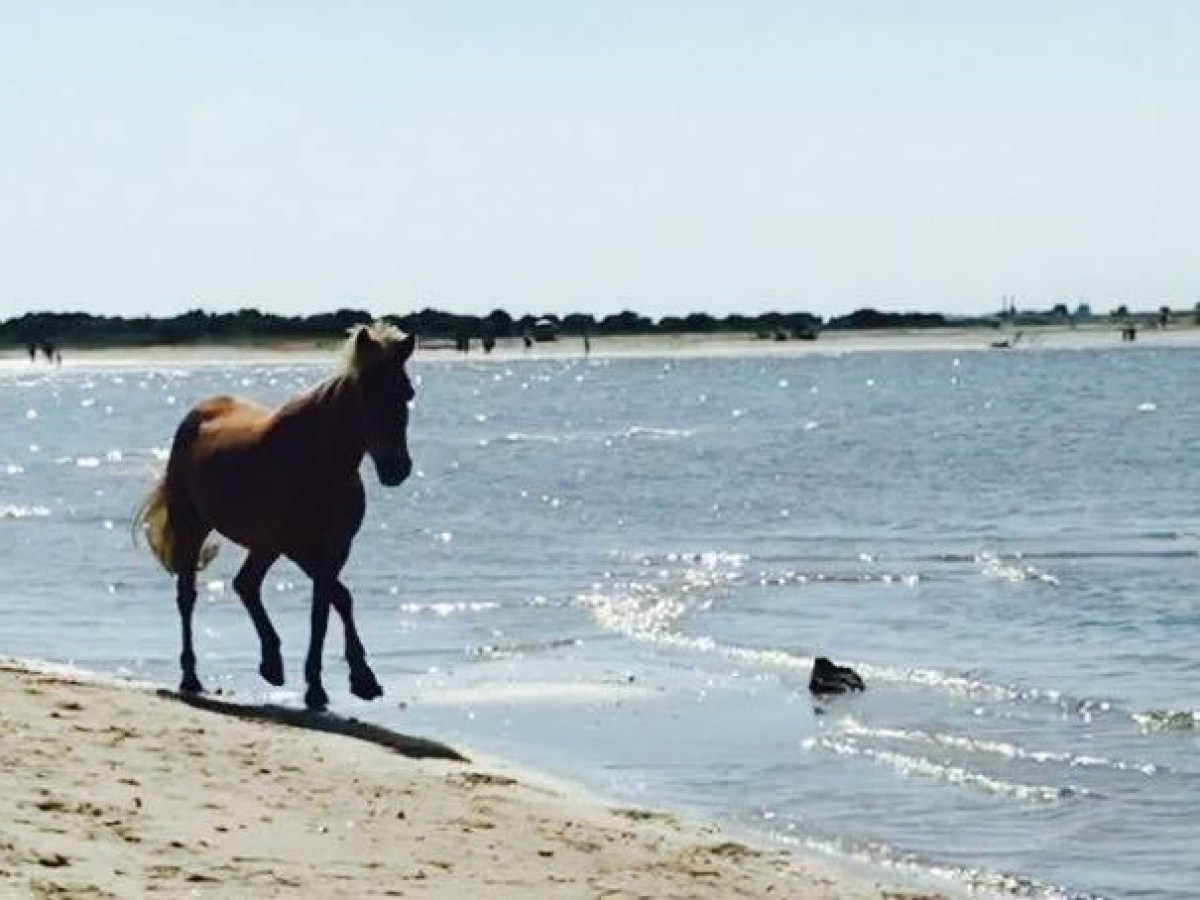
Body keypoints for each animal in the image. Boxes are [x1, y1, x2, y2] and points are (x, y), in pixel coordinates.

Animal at [134, 324, 417, 710]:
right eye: (366, 395)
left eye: (407, 394)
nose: (397, 469)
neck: (317, 461)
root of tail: (197, 414)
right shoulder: (299, 546)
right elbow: (335, 600)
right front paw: (335, 683)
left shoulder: (334, 547)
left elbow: (328, 606)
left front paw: (346, 682)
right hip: (194, 528)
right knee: (188, 596)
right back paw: (191, 677)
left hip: (264, 543)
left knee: (246, 584)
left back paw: (272, 663)